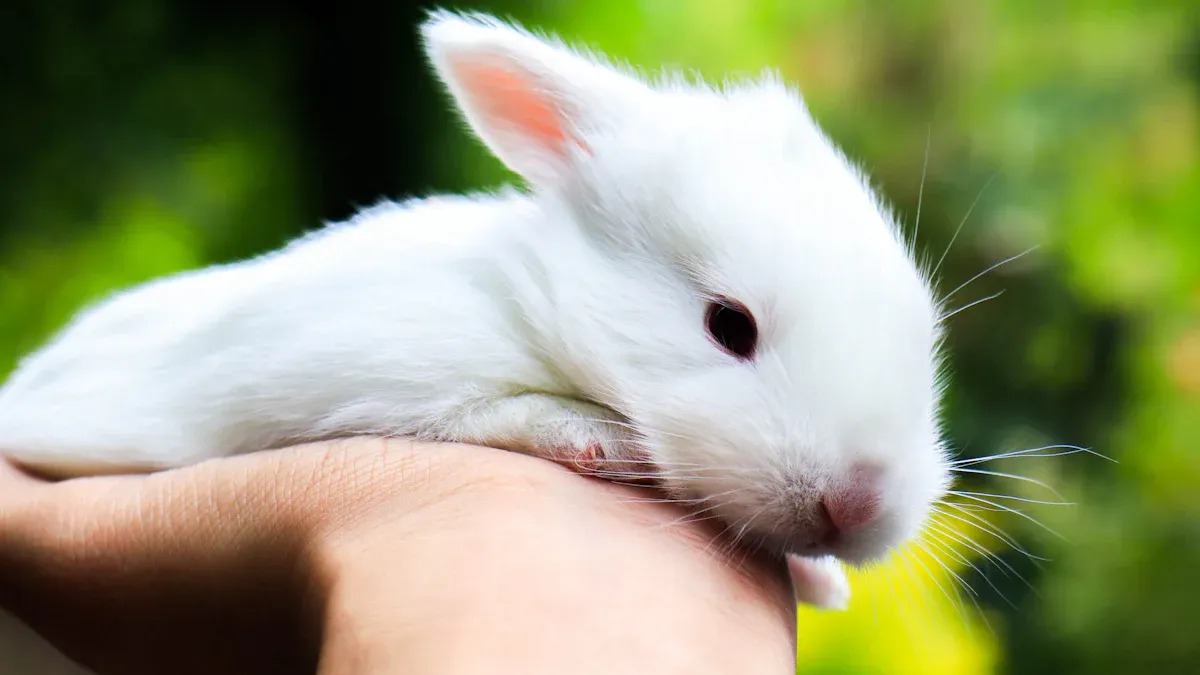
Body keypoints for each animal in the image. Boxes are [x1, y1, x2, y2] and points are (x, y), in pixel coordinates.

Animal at [2, 10, 955, 610]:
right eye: (730, 324)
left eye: (922, 333)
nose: (861, 503)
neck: (531, 307)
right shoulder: (345, 374)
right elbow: (486, 409)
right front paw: (594, 436)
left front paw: (822, 579)